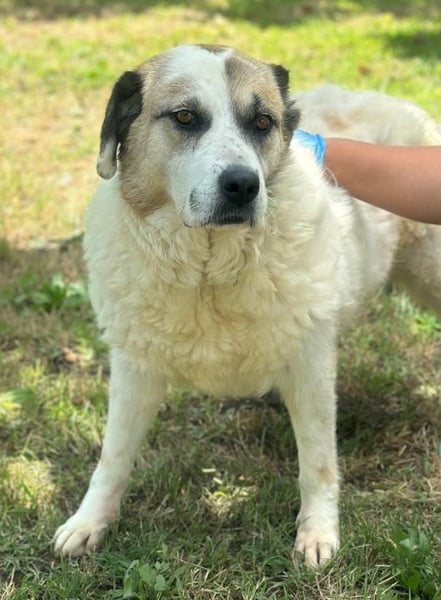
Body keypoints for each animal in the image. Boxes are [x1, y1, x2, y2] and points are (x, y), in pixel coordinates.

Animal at [54, 44, 441, 567]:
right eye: (185, 117)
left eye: (261, 122)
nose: (243, 185)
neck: (209, 272)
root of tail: (389, 99)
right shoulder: (135, 368)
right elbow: (113, 457)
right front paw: (89, 522)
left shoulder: (311, 367)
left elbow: (317, 462)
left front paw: (317, 533)